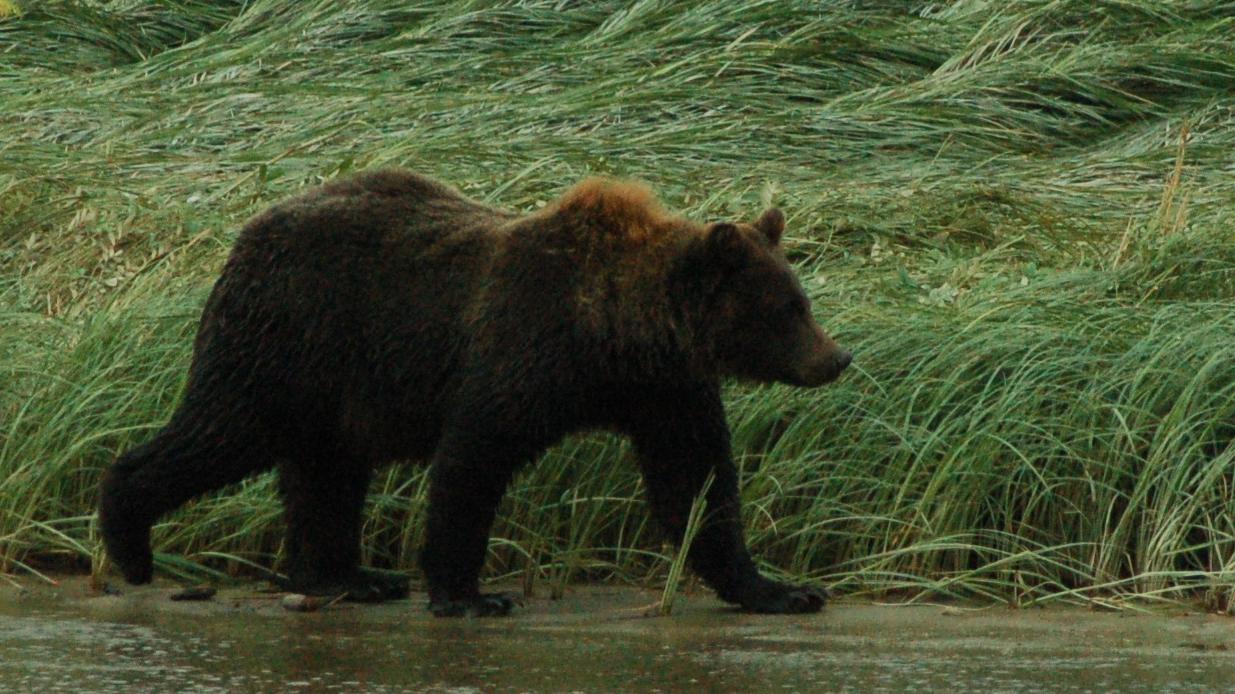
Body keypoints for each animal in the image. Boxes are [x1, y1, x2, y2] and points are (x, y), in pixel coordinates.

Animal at [98, 169, 852, 617]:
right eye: (786, 308)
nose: (836, 357)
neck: (613, 336)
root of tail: (246, 232)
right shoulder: (523, 351)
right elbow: (473, 459)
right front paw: (469, 594)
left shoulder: (663, 391)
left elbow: (696, 484)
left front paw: (781, 588)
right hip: (288, 339)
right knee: (223, 429)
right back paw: (130, 541)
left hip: (336, 384)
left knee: (325, 472)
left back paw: (350, 576)